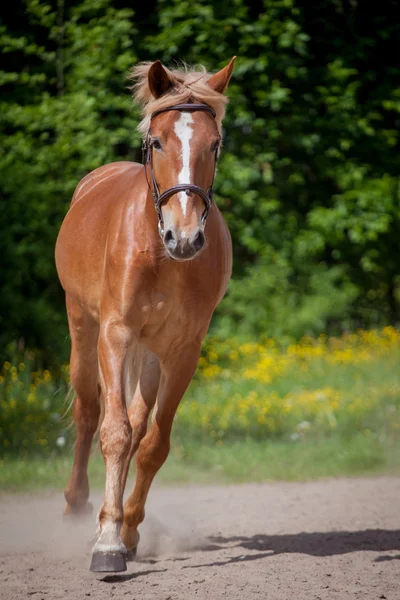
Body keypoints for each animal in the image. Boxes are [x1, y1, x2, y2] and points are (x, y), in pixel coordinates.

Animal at [54, 57, 234, 572]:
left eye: (214, 144)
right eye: (157, 141)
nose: (185, 237)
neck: (159, 252)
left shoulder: (183, 350)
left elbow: (152, 443)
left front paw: (128, 530)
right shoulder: (115, 335)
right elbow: (113, 432)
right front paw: (107, 544)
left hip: (151, 354)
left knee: (138, 424)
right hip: (82, 326)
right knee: (89, 412)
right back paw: (77, 505)